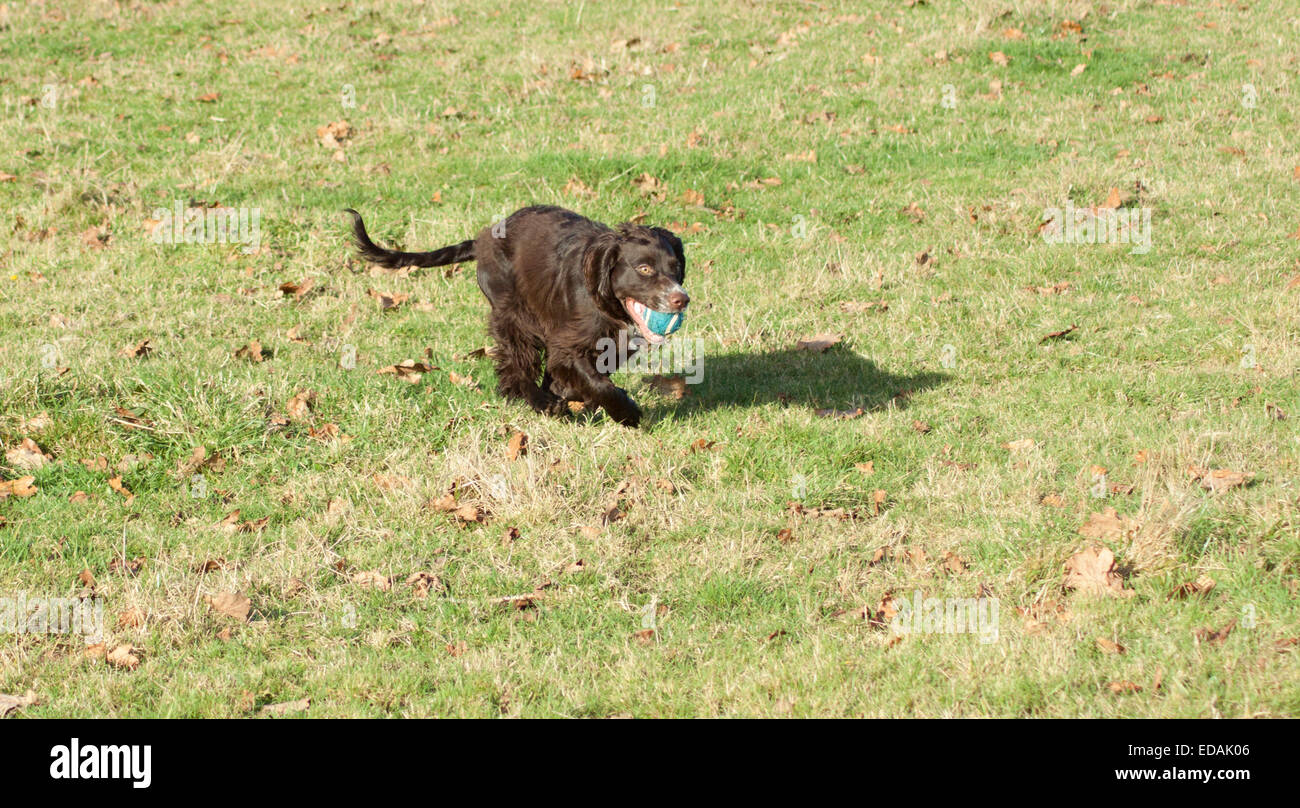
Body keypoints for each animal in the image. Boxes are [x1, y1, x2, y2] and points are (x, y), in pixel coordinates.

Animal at [345, 205, 691, 428]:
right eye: (643, 269)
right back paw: (540, 401)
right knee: (515, 367)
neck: (603, 293)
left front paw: (571, 392)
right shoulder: (567, 343)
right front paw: (627, 414)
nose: (681, 299)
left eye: (676, 268)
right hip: (513, 313)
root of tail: (484, 238)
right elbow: (594, 380)